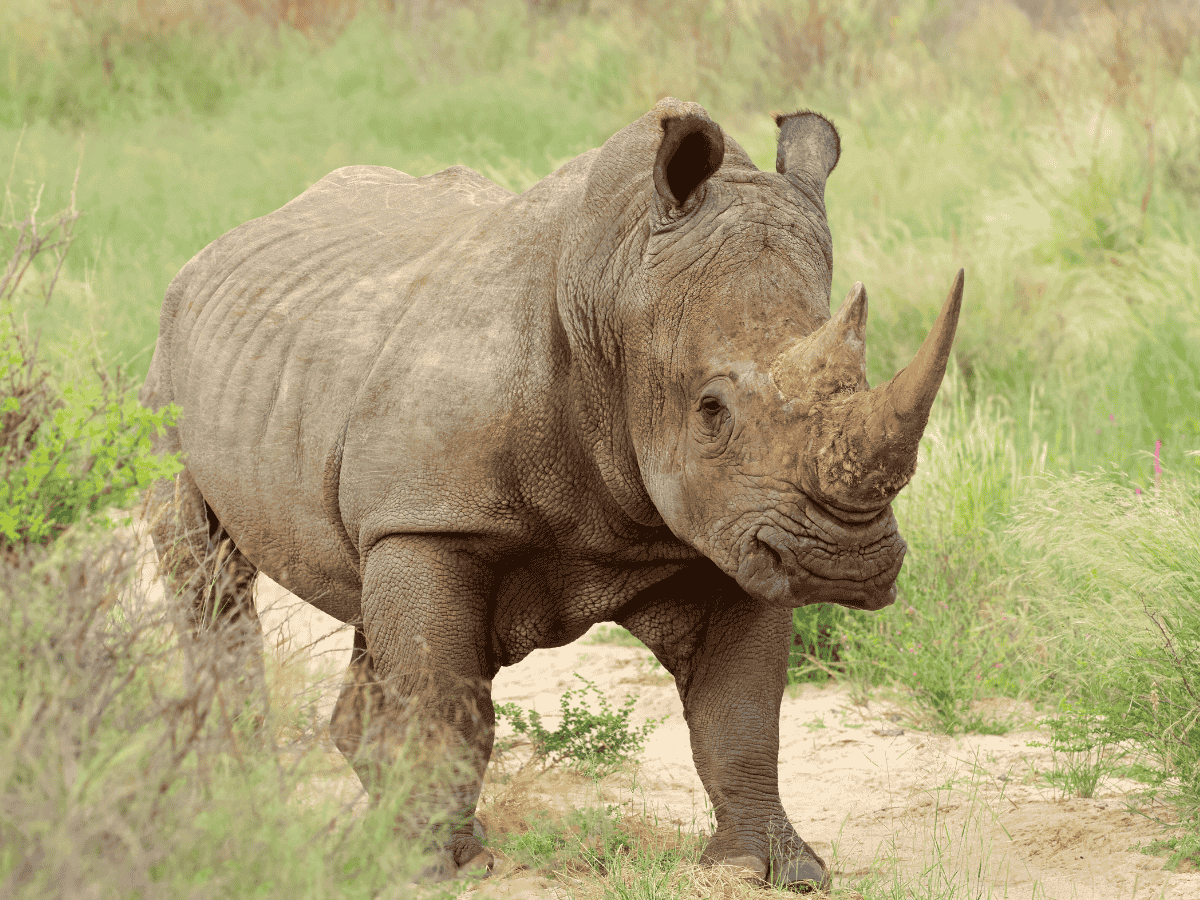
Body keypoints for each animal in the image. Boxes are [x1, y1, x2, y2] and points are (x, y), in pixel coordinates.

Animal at [141, 97, 963, 889]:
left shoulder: (736, 527)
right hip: (172, 354)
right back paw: (241, 804)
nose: (843, 564)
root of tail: (226, 241)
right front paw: (433, 871)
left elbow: (743, 716)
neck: (615, 288)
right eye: (711, 410)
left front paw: (775, 868)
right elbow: (443, 697)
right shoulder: (433, 520)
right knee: (207, 572)